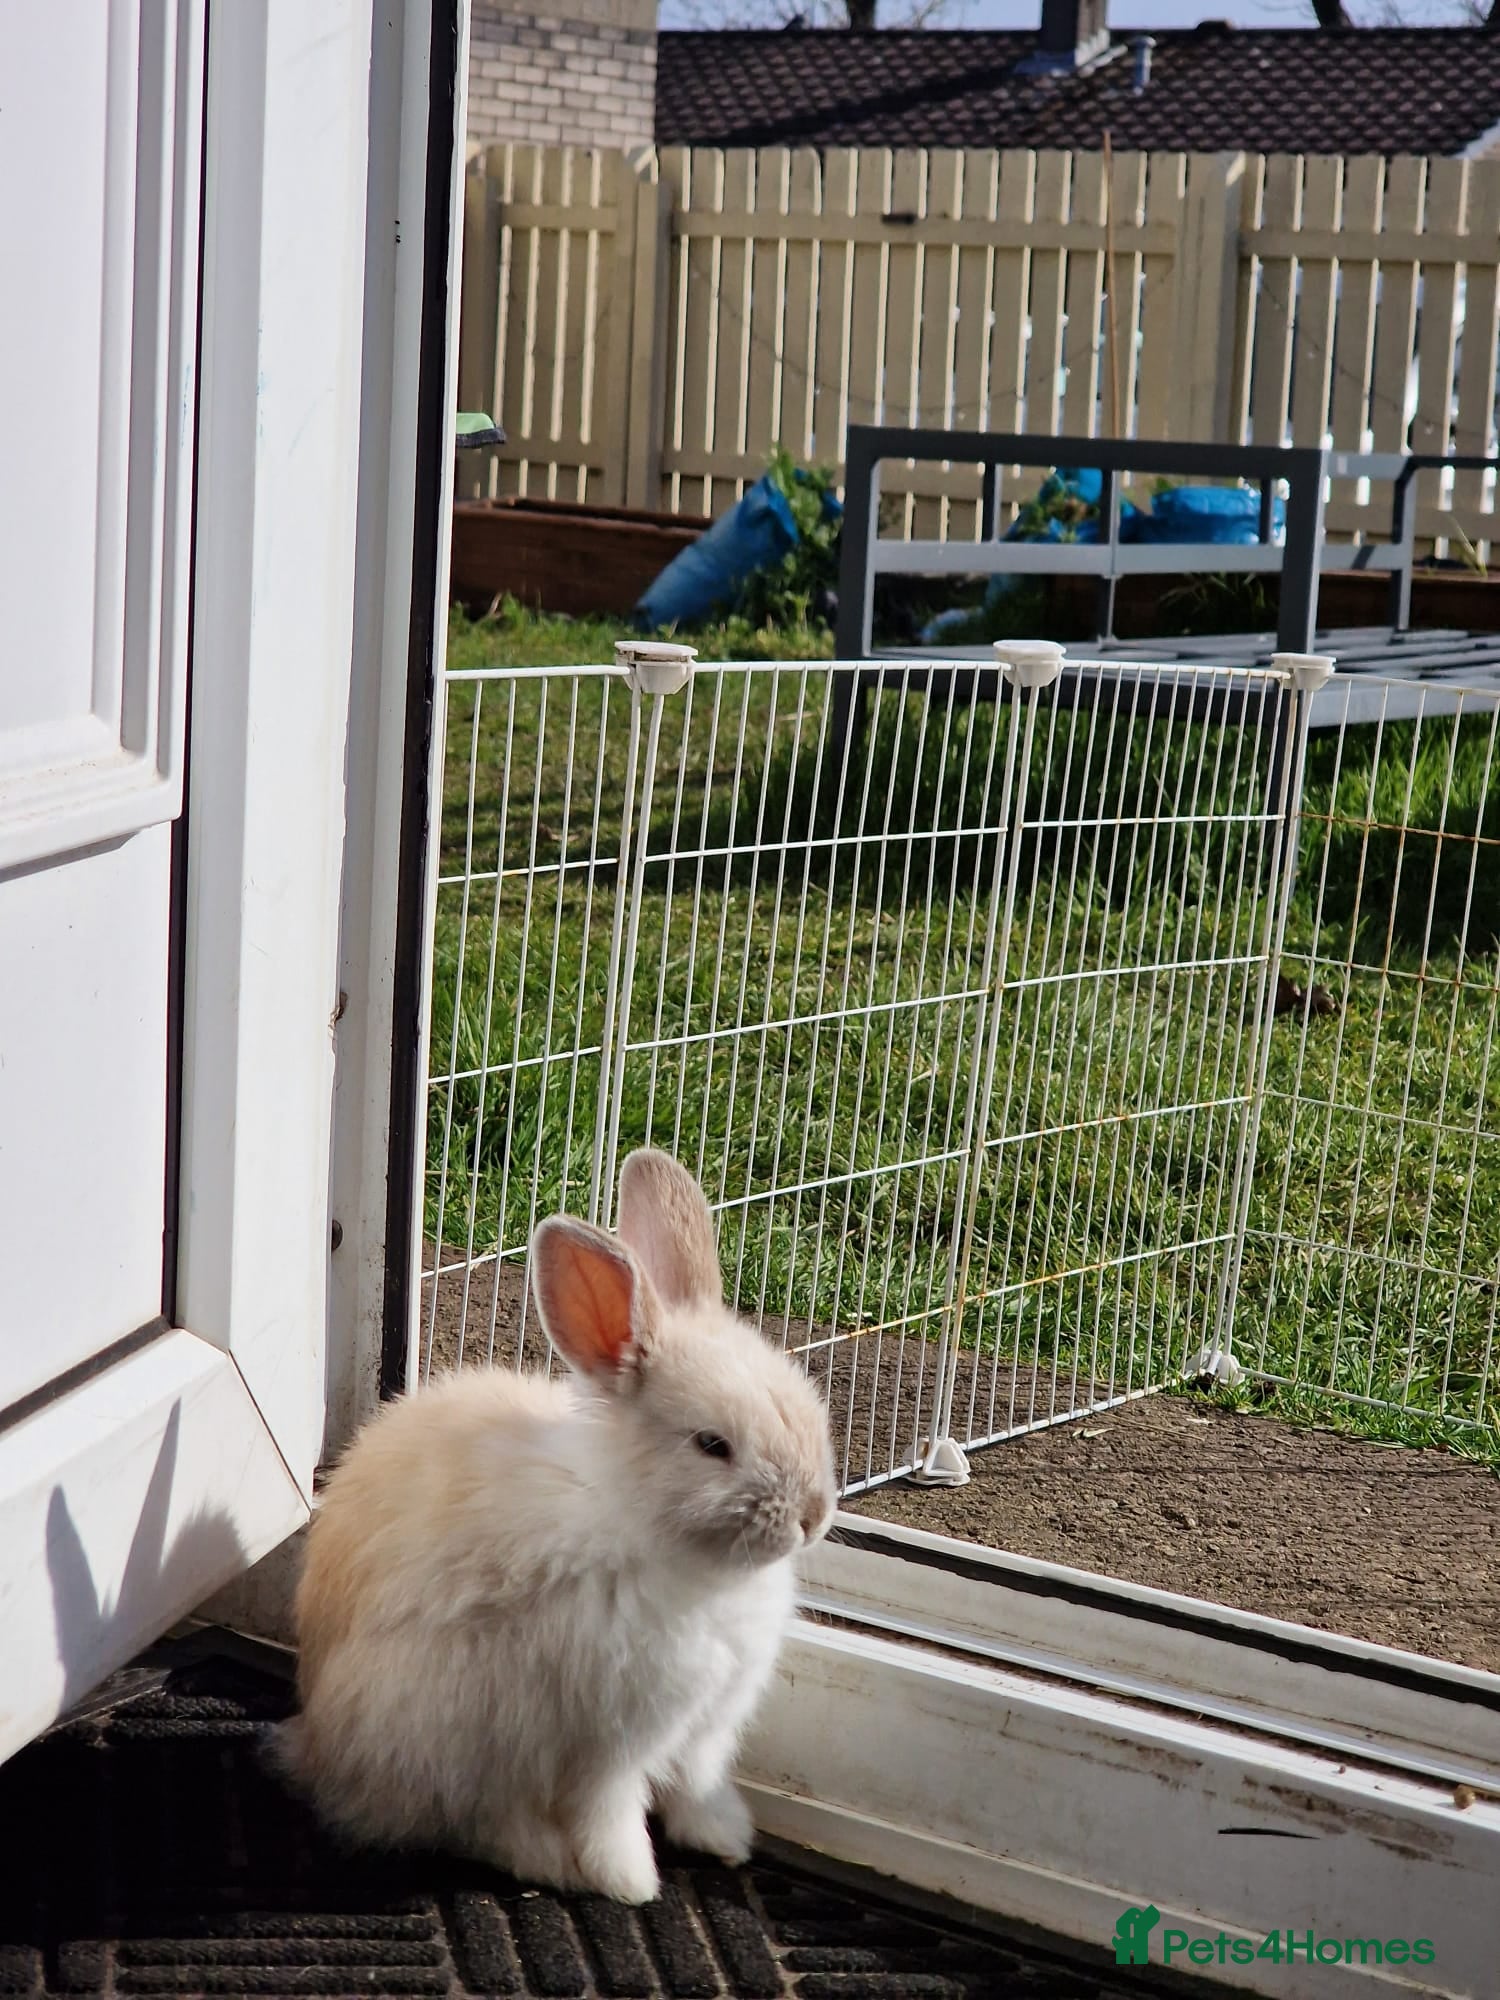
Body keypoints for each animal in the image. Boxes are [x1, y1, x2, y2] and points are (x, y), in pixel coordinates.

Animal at [278, 1147, 837, 1905]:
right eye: (712, 1445)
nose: (813, 1516)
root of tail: (313, 1746)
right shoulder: (611, 1740)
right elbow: (609, 1813)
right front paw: (631, 1883)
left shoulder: (706, 1728)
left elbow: (697, 1785)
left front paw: (725, 1841)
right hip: (456, 1730)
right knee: (475, 1821)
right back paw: (544, 1860)